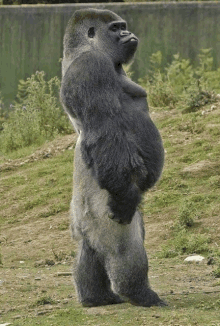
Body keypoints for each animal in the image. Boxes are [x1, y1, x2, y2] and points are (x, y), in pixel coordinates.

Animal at [60, 8, 165, 308]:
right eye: (116, 28)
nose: (128, 33)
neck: (84, 49)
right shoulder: (92, 68)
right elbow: (106, 131)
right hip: (104, 206)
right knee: (124, 246)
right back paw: (139, 293)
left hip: (82, 216)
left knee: (88, 246)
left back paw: (96, 297)